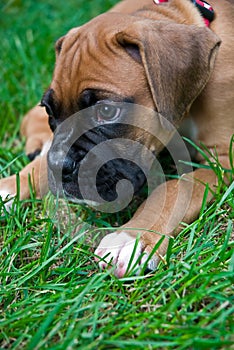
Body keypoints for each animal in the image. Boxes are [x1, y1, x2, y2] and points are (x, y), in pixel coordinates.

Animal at [0, 0, 234, 278]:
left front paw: (131, 238)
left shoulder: (221, 162)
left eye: (107, 111)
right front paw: (10, 185)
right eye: (50, 111)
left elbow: (175, 187)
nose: (58, 166)